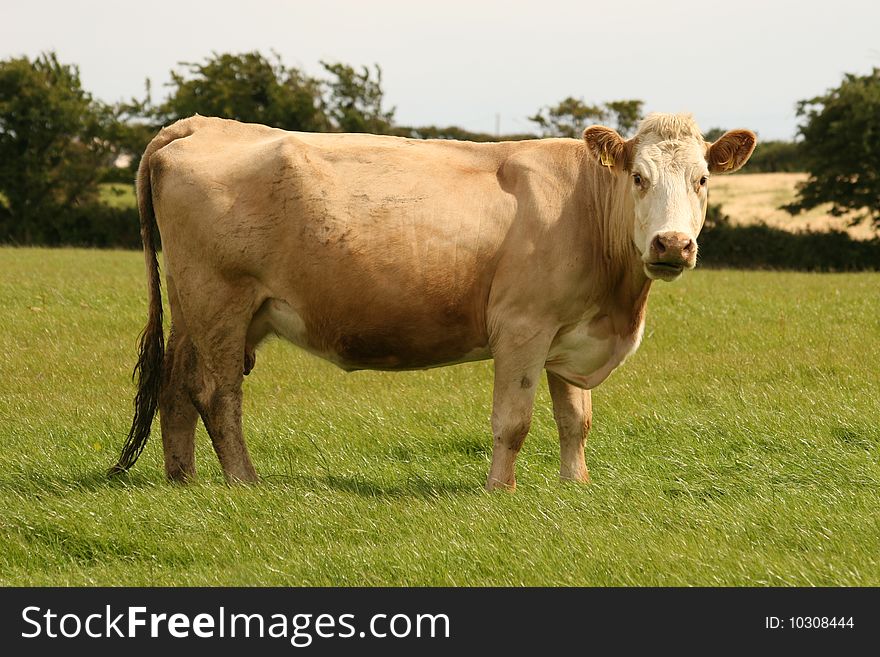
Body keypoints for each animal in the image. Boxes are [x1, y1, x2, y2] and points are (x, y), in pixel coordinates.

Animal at [110, 113, 756, 490]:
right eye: (638, 178)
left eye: (702, 179)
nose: (672, 243)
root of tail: (202, 124)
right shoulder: (522, 327)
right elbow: (514, 420)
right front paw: (500, 491)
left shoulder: (571, 331)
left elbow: (576, 420)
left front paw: (576, 487)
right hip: (221, 299)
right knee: (216, 393)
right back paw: (244, 481)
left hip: (196, 306)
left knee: (176, 385)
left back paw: (182, 479)